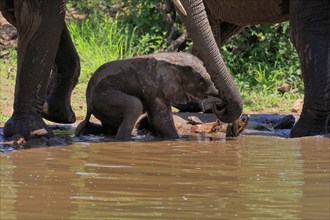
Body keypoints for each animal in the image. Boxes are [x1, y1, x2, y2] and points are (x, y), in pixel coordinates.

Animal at [75, 52, 220, 140]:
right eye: (201, 81)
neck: (173, 60)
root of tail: (88, 101)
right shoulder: (155, 87)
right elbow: (159, 120)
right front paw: (178, 139)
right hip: (105, 97)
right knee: (135, 105)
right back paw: (127, 139)